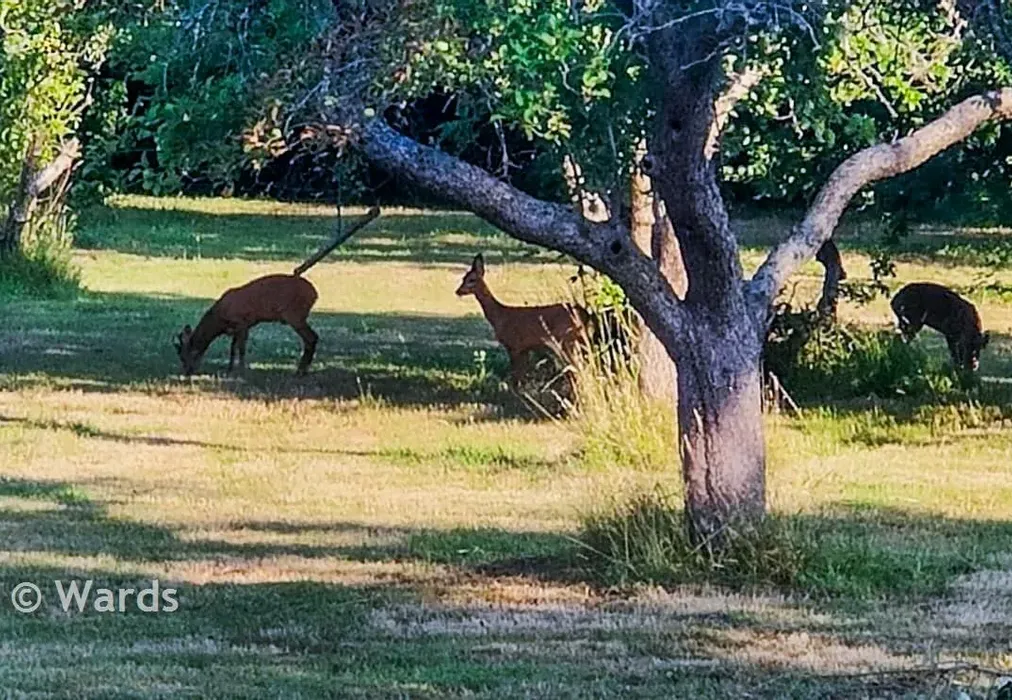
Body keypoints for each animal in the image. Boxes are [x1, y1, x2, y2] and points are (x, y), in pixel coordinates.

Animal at [173, 274, 319, 377]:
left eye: (183, 357)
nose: (187, 372)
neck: (220, 318)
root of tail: (315, 294)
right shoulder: (239, 327)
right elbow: (233, 348)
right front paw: (230, 369)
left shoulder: (242, 322)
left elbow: (241, 348)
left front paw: (241, 370)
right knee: (312, 338)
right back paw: (303, 370)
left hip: (294, 314)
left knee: (311, 337)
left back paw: (300, 371)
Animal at [455, 253, 589, 388]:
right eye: (463, 278)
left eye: (472, 280)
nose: (458, 291)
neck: (500, 315)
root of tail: (585, 312)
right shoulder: (524, 348)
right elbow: (520, 377)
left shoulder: (514, 345)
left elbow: (516, 377)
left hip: (567, 339)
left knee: (577, 368)